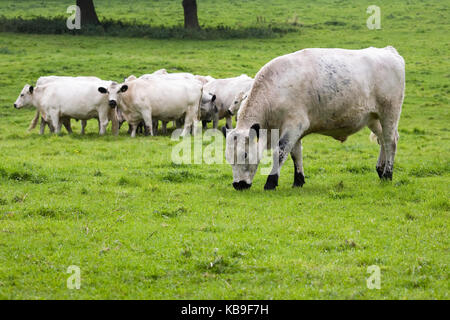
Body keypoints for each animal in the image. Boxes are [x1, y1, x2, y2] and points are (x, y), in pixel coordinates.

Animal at [225, 45, 404, 190]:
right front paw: (298, 181)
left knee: (390, 141)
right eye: (228, 157)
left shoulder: (294, 125)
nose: (238, 185)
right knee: (382, 140)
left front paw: (271, 182)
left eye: (245, 154)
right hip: (373, 118)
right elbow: (296, 154)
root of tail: (388, 51)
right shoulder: (294, 131)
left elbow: (280, 152)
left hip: (390, 112)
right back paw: (380, 170)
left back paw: (388, 174)